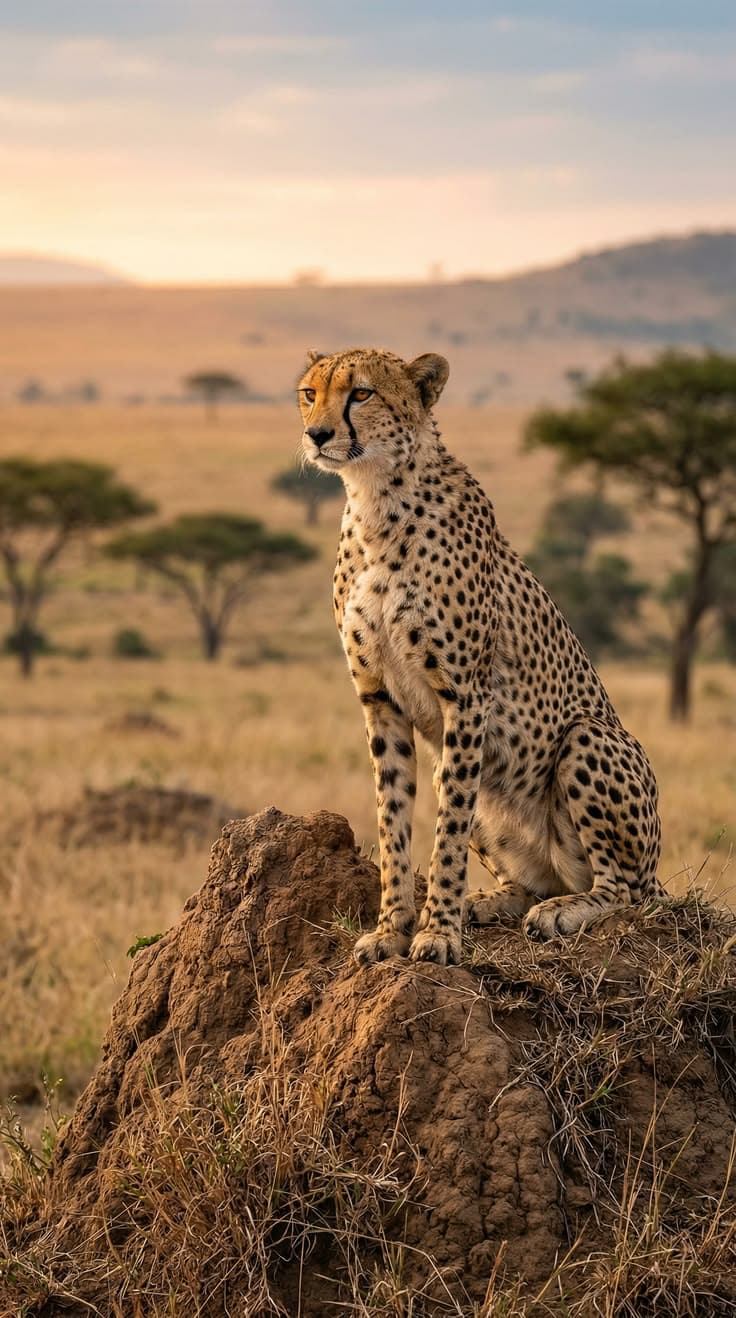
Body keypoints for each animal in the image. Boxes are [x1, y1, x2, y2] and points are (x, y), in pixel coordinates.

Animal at [297, 347, 663, 967]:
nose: (317, 434)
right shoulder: (378, 697)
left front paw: (438, 932)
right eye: (309, 393)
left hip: (588, 740)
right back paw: (491, 901)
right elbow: (392, 818)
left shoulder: (466, 697)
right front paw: (393, 927)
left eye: (361, 393)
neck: (375, 500)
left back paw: (562, 912)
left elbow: (446, 825)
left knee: (621, 890)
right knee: (534, 880)